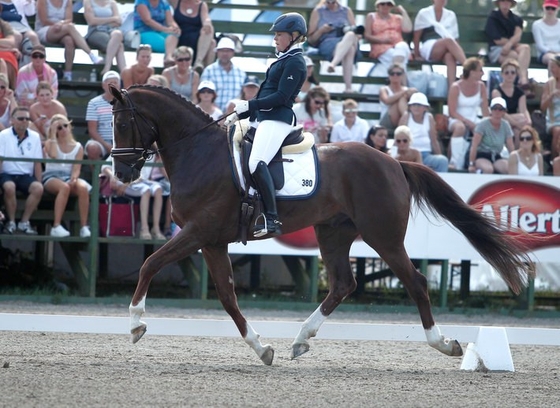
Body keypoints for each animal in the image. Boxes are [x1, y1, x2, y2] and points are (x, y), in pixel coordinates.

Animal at [109, 84, 532, 364]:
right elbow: (228, 298)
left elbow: (150, 264)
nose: (122, 173)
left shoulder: (198, 232)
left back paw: (442, 344)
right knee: (344, 284)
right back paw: (300, 338)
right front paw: (262, 348)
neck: (199, 152)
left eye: (123, 123)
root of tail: (394, 162)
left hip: (382, 236)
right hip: (333, 232)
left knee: (415, 282)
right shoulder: (211, 240)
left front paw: (135, 324)